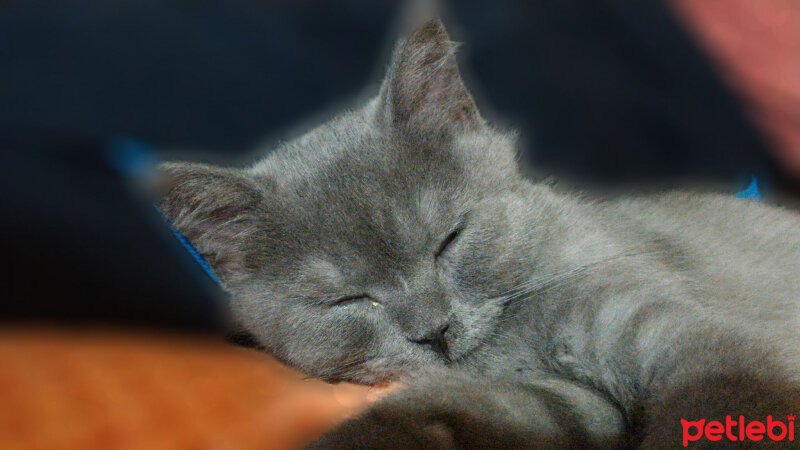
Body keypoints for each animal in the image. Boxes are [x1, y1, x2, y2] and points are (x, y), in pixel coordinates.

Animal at [161, 18, 800, 450]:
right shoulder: (562, 401)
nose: (434, 332)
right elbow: (481, 409)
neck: (506, 342)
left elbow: (721, 392)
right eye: (348, 299)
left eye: (450, 239)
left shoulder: (651, 316)